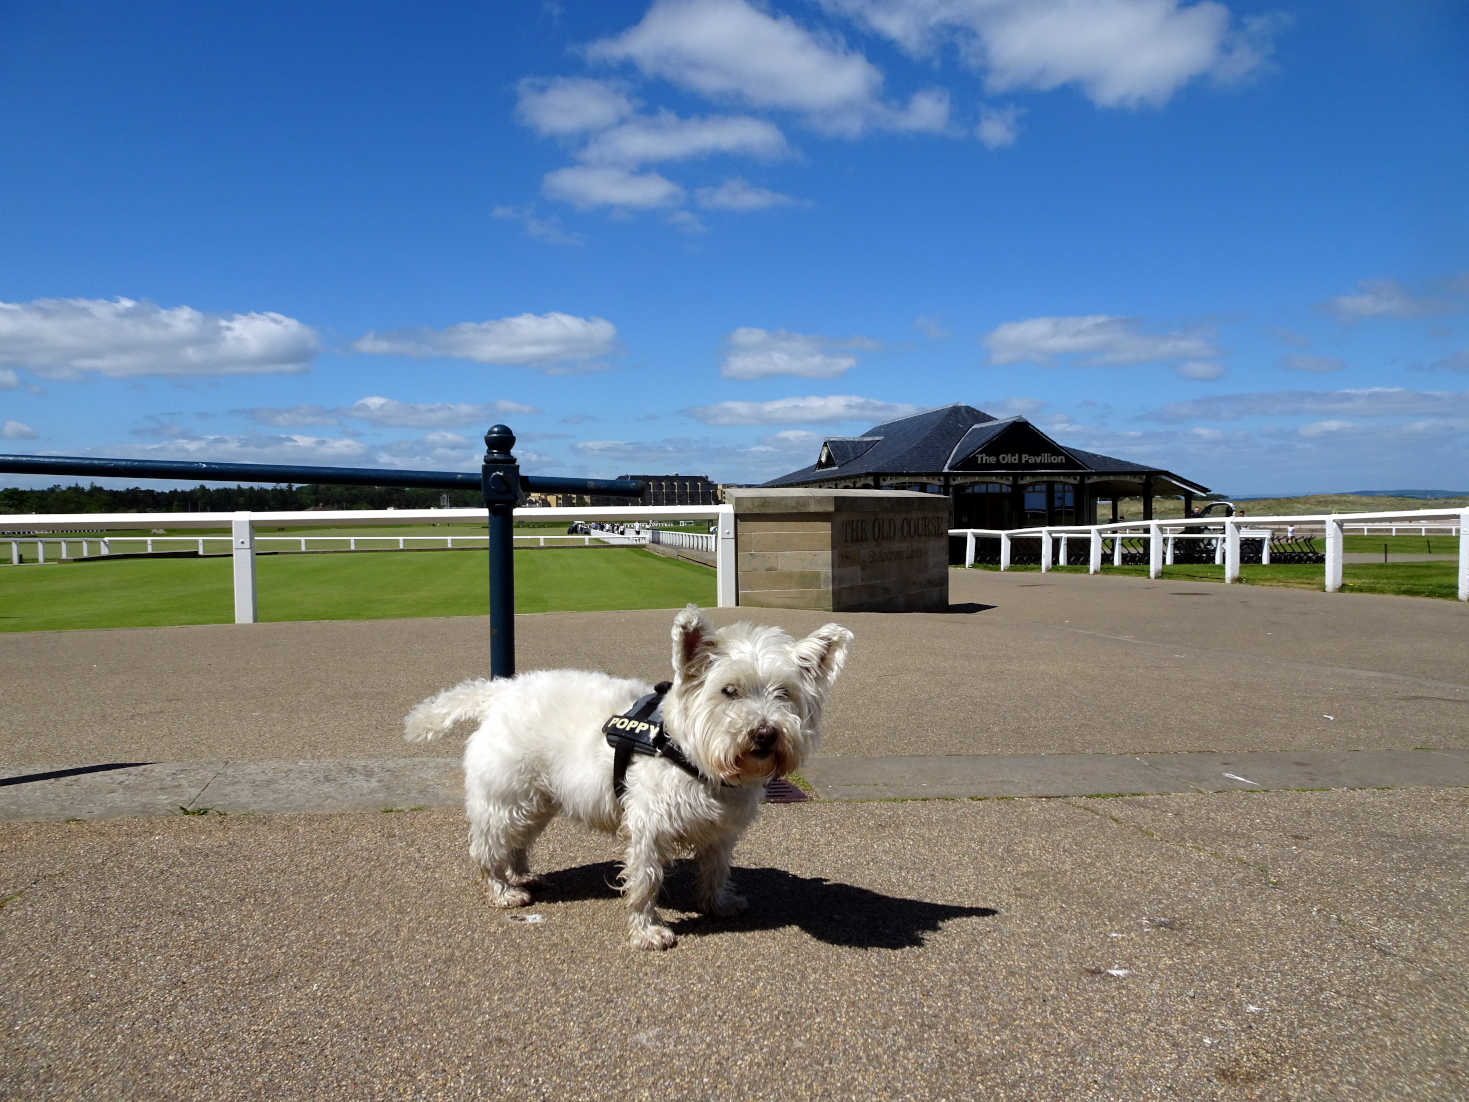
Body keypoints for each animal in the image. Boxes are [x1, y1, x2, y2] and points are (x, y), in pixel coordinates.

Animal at [408, 605, 857, 952]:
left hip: (537, 800)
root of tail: (500, 693)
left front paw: (717, 903)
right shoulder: (649, 827)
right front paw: (648, 932)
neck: (686, 751)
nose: (764, 734)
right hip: (506, 797)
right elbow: (645, 879)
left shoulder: (721, 830)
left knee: (518, 841)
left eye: (784, 693)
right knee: (488, 846)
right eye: (729, 691)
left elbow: (715, 868)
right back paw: (504, 891)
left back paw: (522, 874)